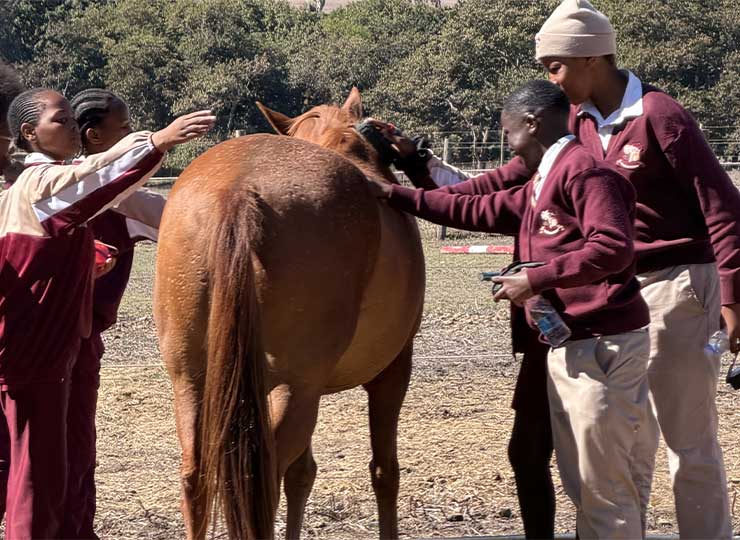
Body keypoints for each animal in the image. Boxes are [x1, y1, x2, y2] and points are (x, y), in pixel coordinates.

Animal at [154, 88, 425, 540]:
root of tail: (238, 190)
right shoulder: (392, 371)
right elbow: (384, 472)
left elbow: (303, 474)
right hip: (296, 390)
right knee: (264, 483)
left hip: (190, 378)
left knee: (197, 478)